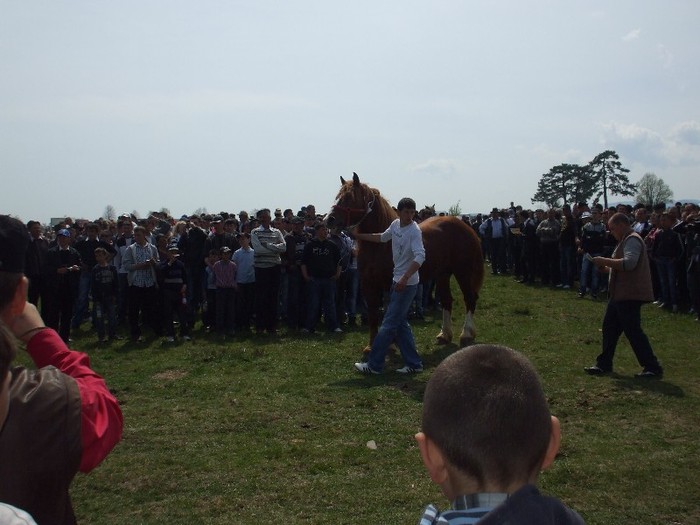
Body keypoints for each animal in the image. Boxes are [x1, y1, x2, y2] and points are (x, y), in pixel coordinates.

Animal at [326, 172, 482, 350]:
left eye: (350, 198)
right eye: (338, 197)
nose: (329, 220)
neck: (380, 245)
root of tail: (465, 226)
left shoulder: (390, 285)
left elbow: (389, 314)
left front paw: (390, 343)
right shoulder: (368, 285)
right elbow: (373, 315)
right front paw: (372, 346)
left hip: (463, 272)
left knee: (469, 298)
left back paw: (466, 334)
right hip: (443, 274)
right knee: (447, 300)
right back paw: (445, 335)